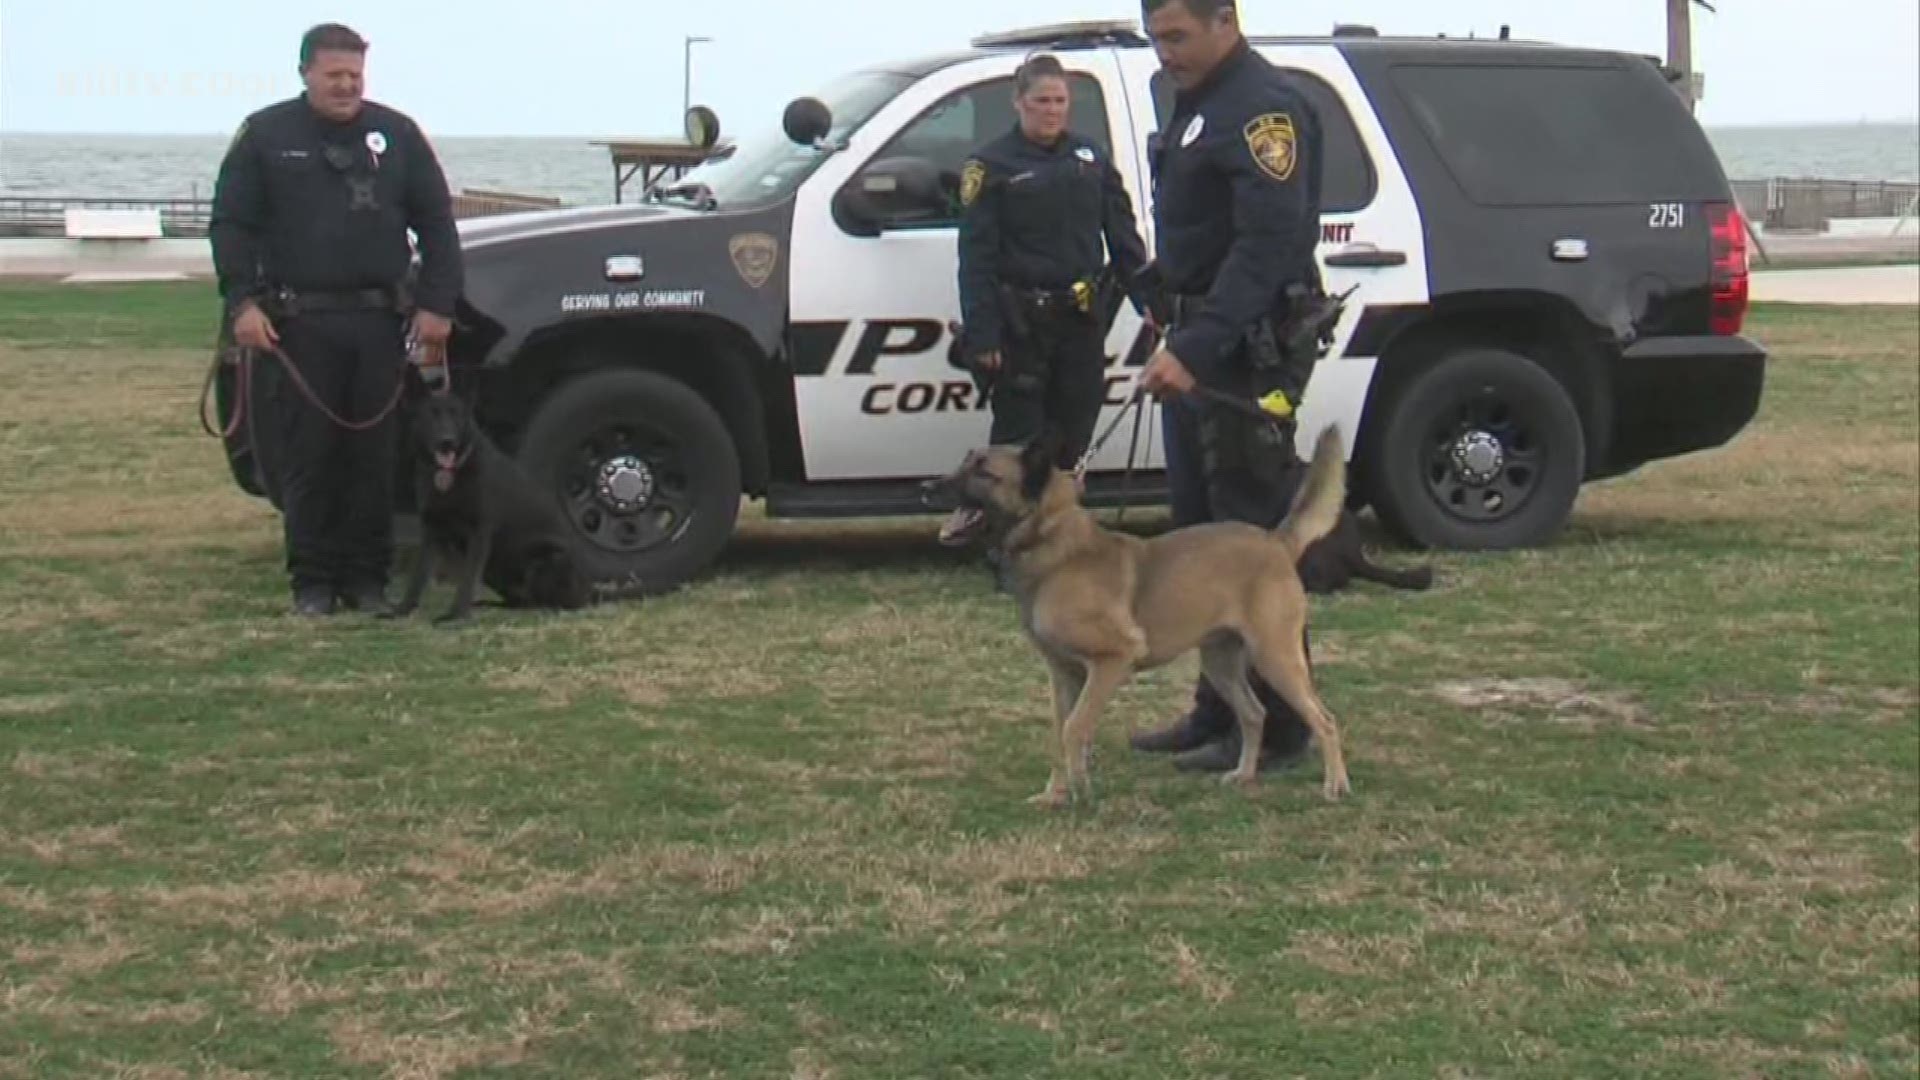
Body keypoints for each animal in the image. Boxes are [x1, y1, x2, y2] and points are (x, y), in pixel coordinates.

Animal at [385, 388, 595, 622]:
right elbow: (418, 577)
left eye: (456, 415)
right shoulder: (431, 531)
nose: (447, 442)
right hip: (494, 570)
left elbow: (467, 580)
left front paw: (457, 616)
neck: (452, 473)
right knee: (519, 601)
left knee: (550, 603)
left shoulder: (479, 533)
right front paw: (402, 610)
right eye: (431, 415)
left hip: (550, 559)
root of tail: (589, 591)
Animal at [925, 424, 1351, 803]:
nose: (927, 488)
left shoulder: (1112, 661)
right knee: (1254, 713)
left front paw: (1080, 790)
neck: (1054, 549)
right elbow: (1059, 732)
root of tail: (1275, 541)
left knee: (1324, 720)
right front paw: (1056, 793)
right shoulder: (1063, 674)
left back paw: (1335, 785)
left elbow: (1074, 728)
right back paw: (1244, 774)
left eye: (983, 472)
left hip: (1275, 658)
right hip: (1221, 664)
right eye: (965, 461)